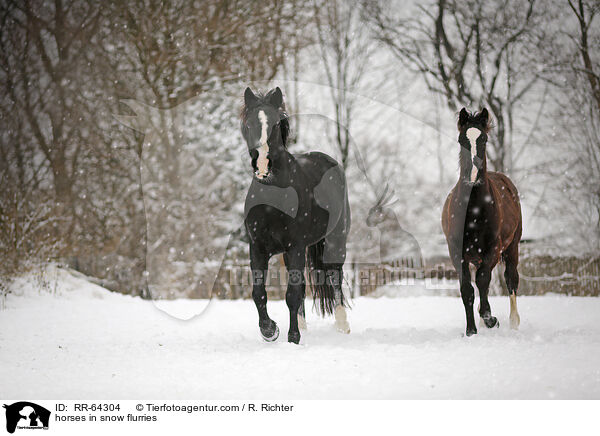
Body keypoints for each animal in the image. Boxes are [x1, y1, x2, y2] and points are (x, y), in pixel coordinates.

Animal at [240, 86, 352, 344]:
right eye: (249, 124)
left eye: (274, 124)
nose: (262, 164)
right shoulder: (257, 247)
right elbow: (259, 292)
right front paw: (270, 330)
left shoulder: (296, 246)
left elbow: (291, 293)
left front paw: (292, 337)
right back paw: (302, 325)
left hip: (335, 241)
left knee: (334, 277)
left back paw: (342, 326)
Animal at [440, 109, 520, 338]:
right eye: (461, 140)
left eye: (483, 139)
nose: (473, 176)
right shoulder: (457, 253)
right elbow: (467, 290)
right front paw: (471, 330)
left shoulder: (493, 249)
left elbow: (483, 281)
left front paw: (490, 319)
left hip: (512, 247)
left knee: (511, 279)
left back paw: (513, 322)